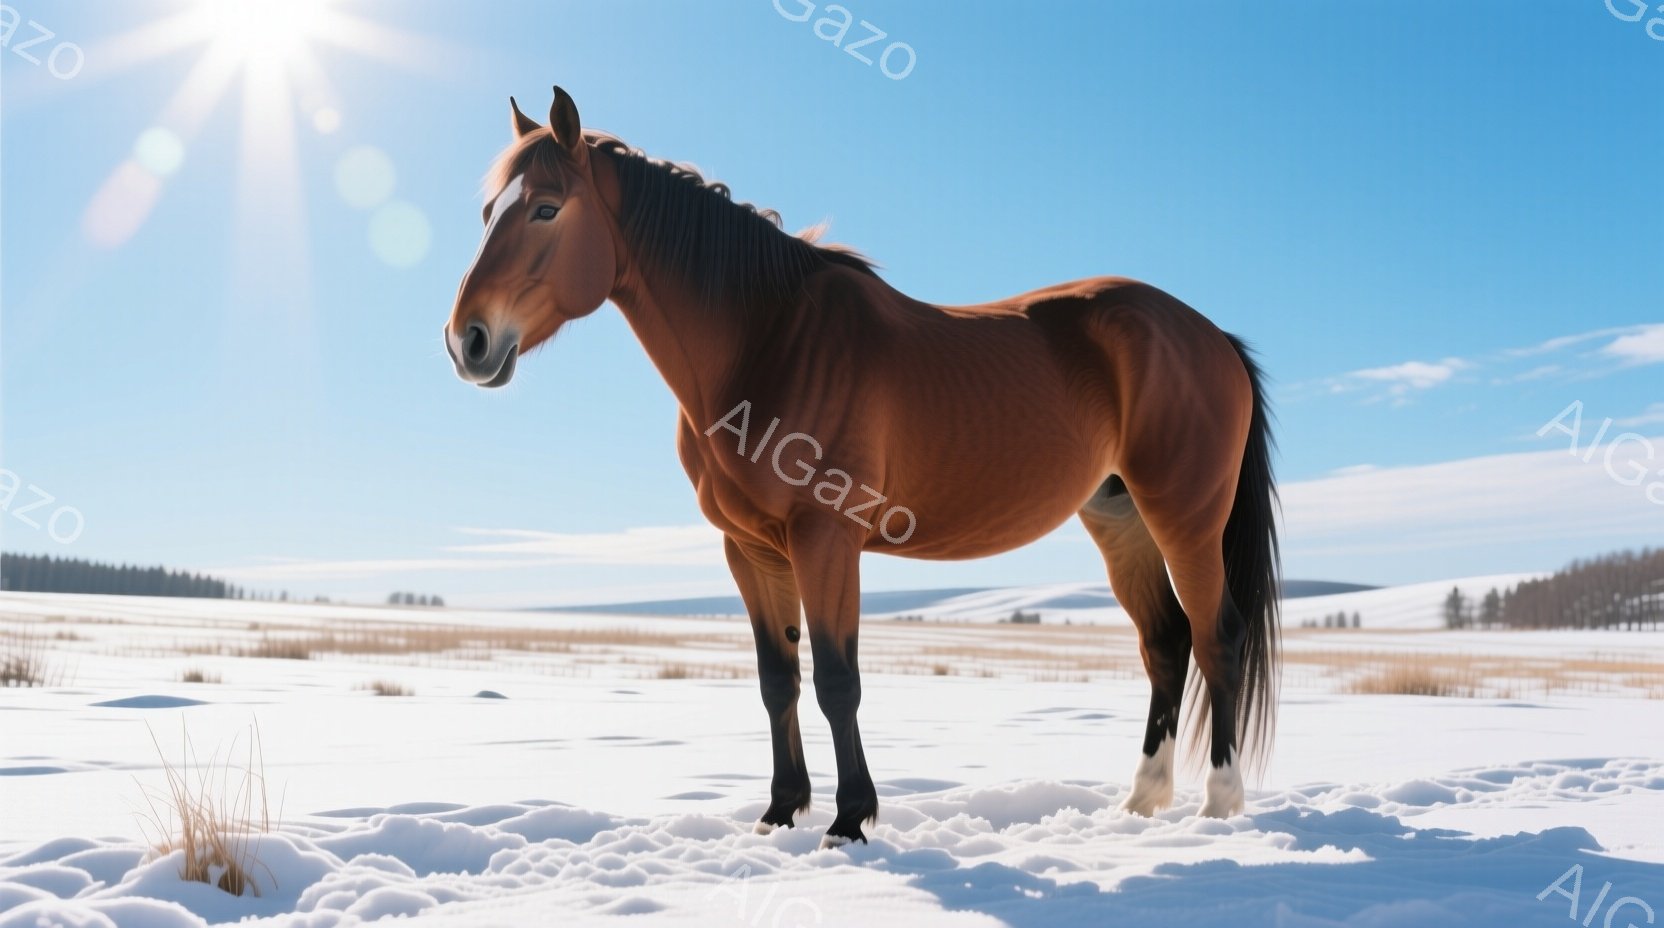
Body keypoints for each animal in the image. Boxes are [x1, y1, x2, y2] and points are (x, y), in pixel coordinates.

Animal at [444, 87, 1281, 848]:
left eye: (546, 209)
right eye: (489, 213)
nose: (467, 342)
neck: (766, 339)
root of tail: (1211, 335)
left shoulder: (826, 540)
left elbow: (835, 681)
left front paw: (849, 820)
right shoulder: (749, 549)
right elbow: (776, 680)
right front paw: (780, 811)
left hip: (1184, 517)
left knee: (1217, 636)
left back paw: (1219, 804)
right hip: (1118, 518)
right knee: (1165, 642)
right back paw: (1141, 802)